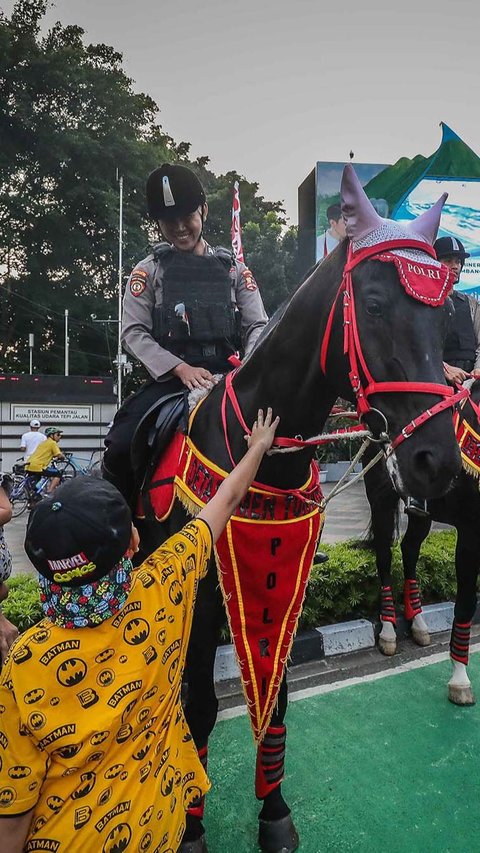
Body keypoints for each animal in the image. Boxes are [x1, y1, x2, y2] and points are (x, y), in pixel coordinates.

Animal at [134, 168, 462, 852]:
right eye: (374, 305)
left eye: (443, 311)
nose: (437, 460)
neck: (262, 454)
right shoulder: (201, 584)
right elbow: (200, 705)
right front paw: (192, 825)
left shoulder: (285, 582)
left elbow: (277, 696)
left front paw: (274, 810)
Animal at [364, 380, 480, 704]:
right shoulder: (470, 531)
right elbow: (466, 602)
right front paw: (459, 678)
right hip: (381, 498)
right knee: (384, 555)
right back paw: (389, 630)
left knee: (410, 549)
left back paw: (417, 620)